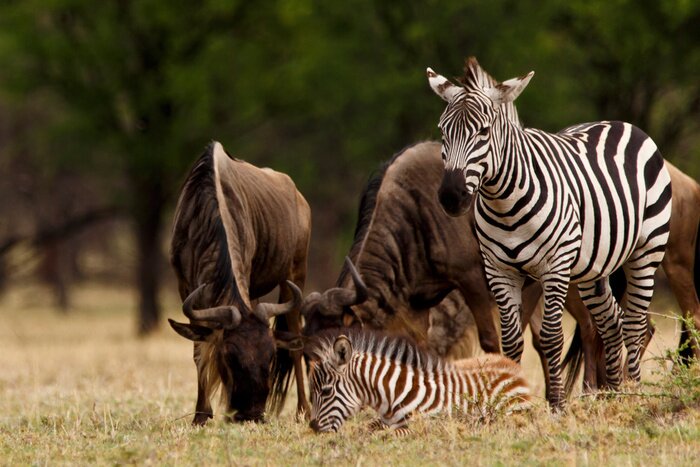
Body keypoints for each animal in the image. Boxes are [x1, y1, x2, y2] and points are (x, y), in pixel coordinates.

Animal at [307, 329, 531, 434]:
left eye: (326, 391)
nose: (313, 427)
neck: (392, 394)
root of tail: (514, 367)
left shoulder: (423, 425)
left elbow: (385, 435)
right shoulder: (383, 421)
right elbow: (367, 429)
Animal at [426, 58, 672, 408]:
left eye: (483, 132)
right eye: (443, 131)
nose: (451, 196)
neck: (504, 203)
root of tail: (620, 123)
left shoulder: (554, 268)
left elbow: (553, 337)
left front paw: (556, 404)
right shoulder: (499, 271)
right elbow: (511, 342)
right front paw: (512, 402)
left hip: (646, 252)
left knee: (634, 325)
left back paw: (633, 393)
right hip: (593, 269)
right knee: (611, 322)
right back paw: (613, 395)